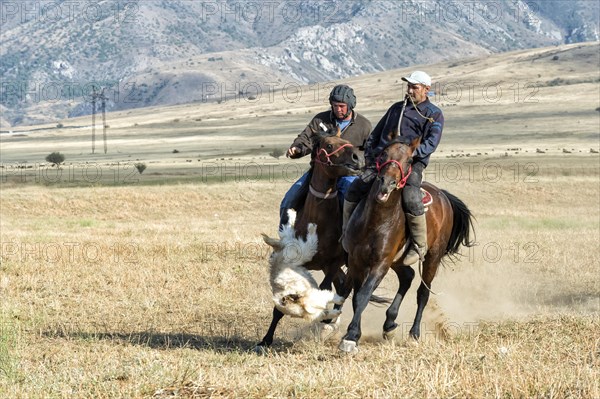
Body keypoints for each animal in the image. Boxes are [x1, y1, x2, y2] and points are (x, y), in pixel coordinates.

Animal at [253, 134, 360, 350]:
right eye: (329, 145)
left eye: (348, 141)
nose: (357, 158)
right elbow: (278, 310)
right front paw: (265, 340)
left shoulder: (332, 263)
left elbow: (325, 288)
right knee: (341, 285)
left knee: (343, 287)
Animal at [338, 136, 474, 354]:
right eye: (383, 154)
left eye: (410, 160)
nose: (387, 183)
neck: (375, 221)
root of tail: (443, 196)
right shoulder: (355, 260)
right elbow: (354, 294)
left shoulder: (381, 264)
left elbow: (364, 295)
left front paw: (351, 337)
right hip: (398, 260)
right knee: (407, 276)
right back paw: (389, 323)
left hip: (432, 258)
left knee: (423, 293)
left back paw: (414, 333)